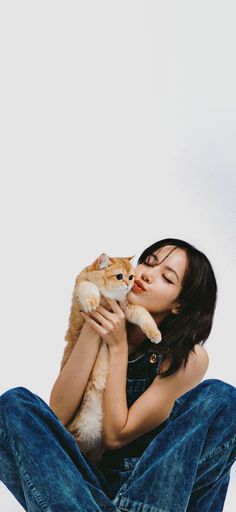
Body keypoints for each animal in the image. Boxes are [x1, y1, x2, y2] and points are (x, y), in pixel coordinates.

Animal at [60, 253, 161, 464]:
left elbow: (144, 314)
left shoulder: (128, 308)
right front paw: (92, 303)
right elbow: (89, 289)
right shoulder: (82, 284)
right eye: (119, 276)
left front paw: (155, 334)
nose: (129, 285)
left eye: (131, 277)